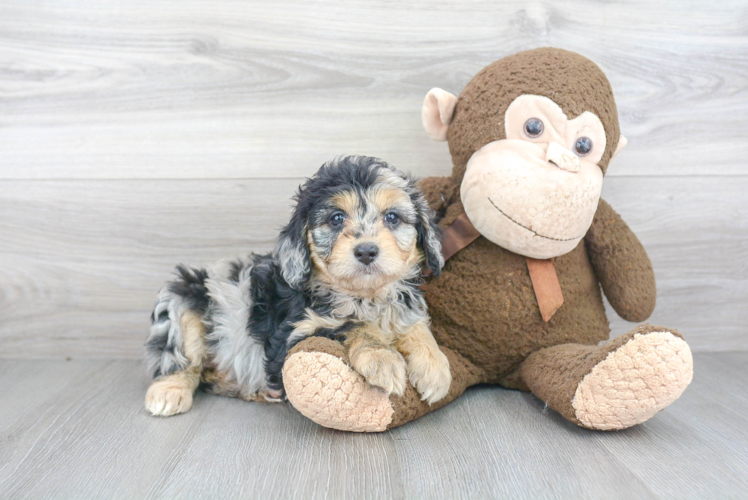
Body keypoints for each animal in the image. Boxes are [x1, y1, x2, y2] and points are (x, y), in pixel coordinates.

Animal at [145, 154, 450, 416]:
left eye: (392, 217)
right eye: (336, 218)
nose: (366, 251)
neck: (364, 296)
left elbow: (416, 329)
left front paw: (434, 366)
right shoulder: (291, 336)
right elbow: (352, 324)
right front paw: (383, 359)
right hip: (181, 300)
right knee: (178, 358)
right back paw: (168, 392)